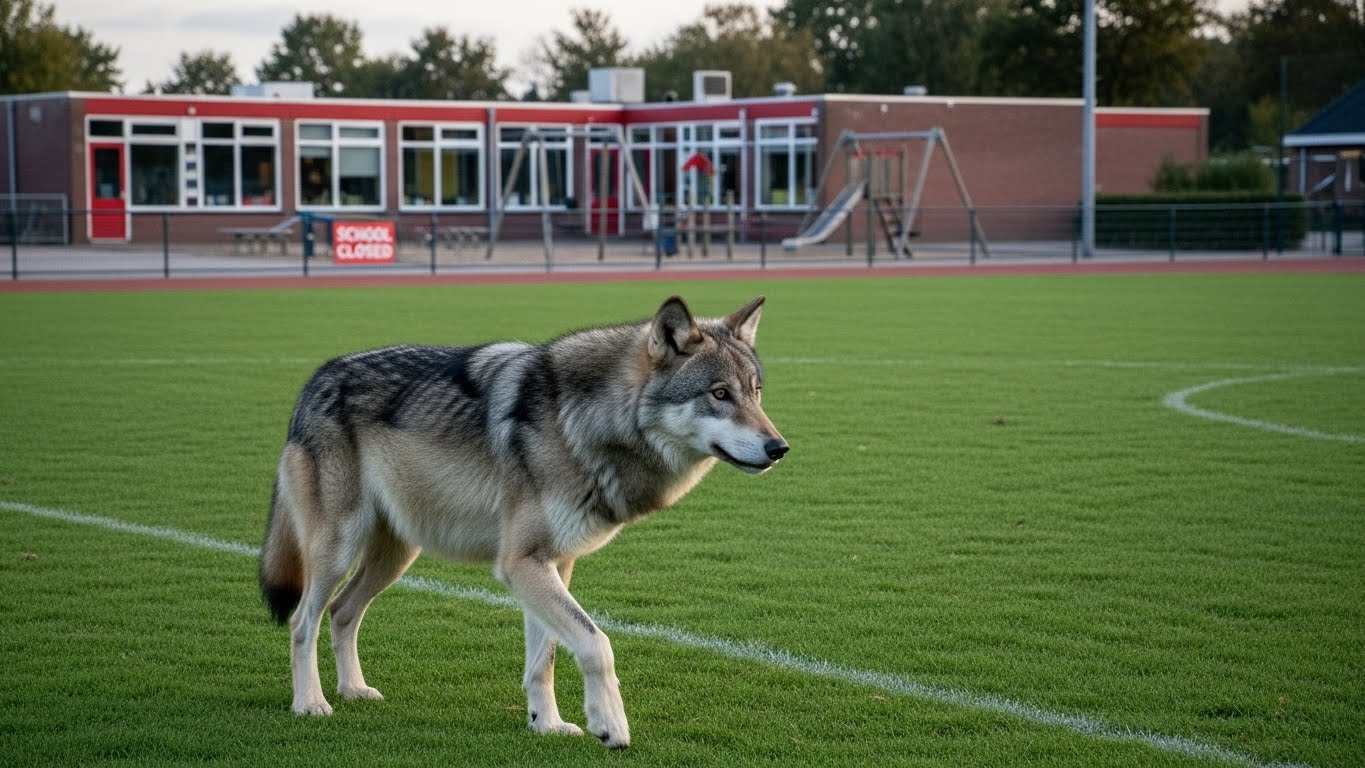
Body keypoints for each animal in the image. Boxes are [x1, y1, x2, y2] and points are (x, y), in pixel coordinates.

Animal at [259, 295, 787, 748]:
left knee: (342, 612)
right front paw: (610, 726)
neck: (582, 423)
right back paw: (311, 703)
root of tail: (314, 380)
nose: (779, 448)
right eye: (719, 394)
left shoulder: (552, 564)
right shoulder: (522, 564)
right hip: (339, 550)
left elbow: (545, 660)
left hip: (395, 557)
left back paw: (353, 690)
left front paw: (546, 724)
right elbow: (597, 644)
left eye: (757, 393)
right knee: (302, 622)